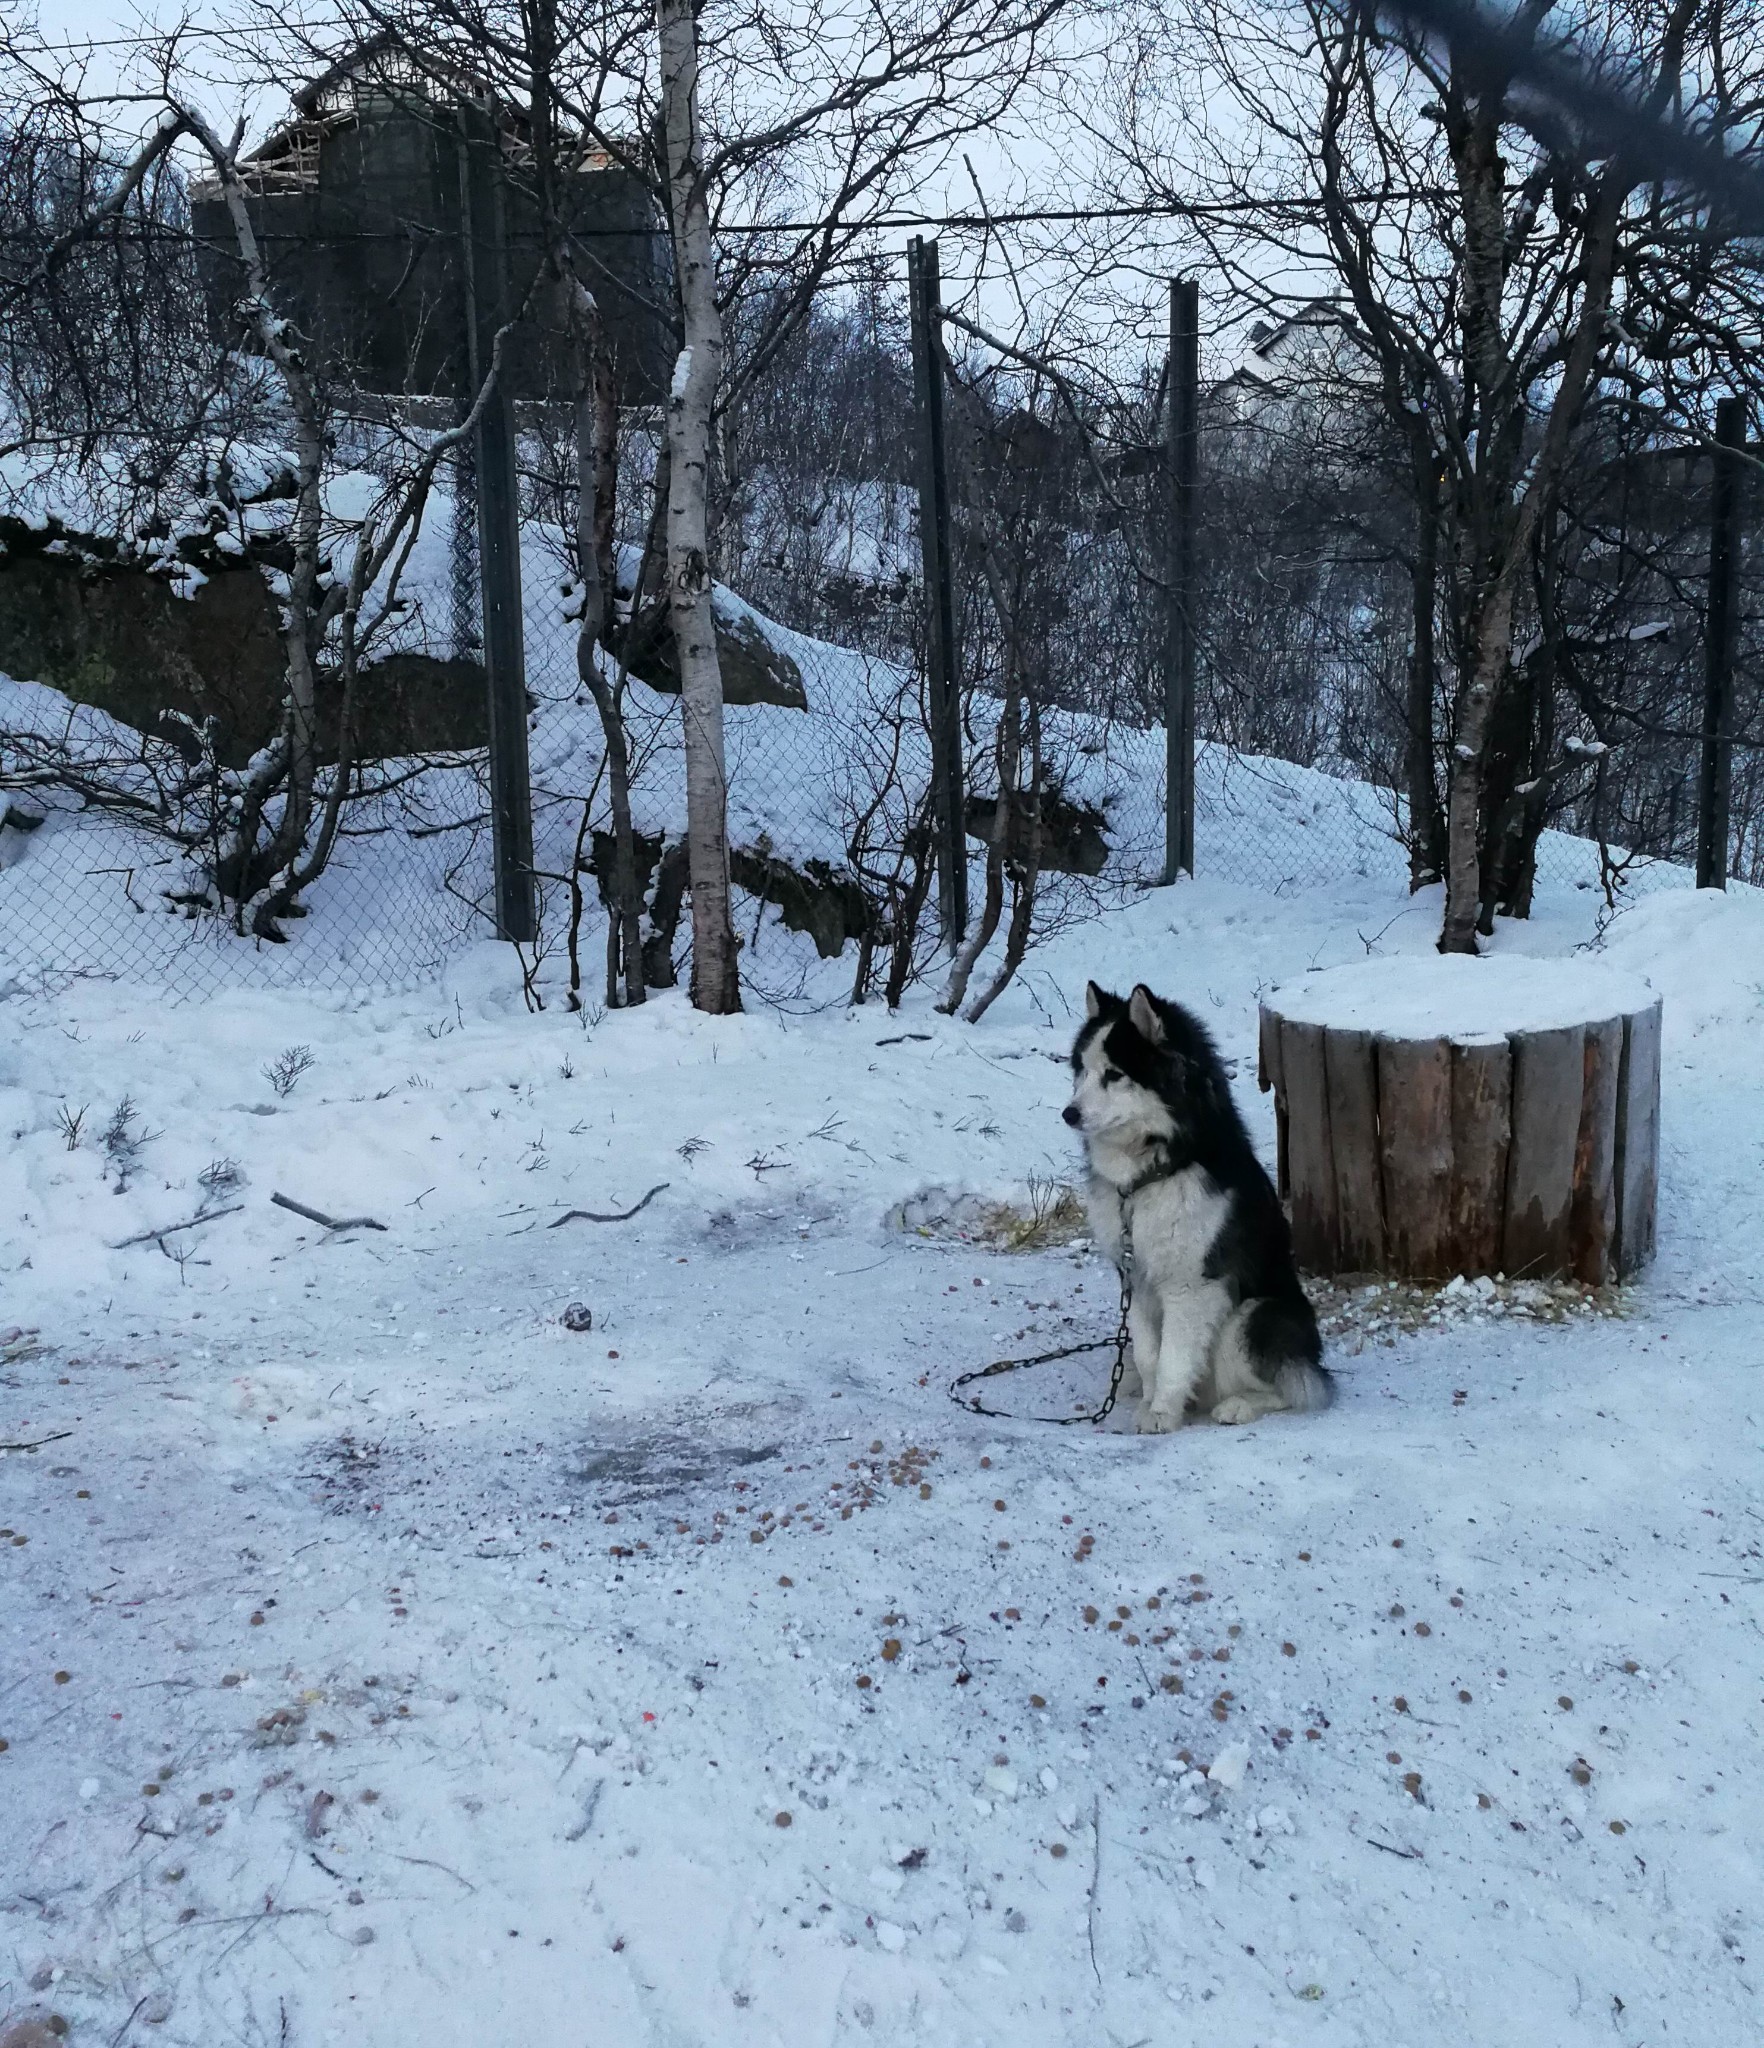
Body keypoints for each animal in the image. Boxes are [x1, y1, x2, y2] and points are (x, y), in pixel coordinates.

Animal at [1057, 983, 1335, 1433]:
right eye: (1081, 1070)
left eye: (1114, 1074)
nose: (1069, 1113)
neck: (1152, 1174)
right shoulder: (1136, 1280)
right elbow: (1149, 1356)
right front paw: (1151, 1403)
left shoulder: (1192, 1285)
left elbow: (1173, 1359)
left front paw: (1161, 1414)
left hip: (1254, 1317)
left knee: (1295, 1386)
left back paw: (1239, 1406)